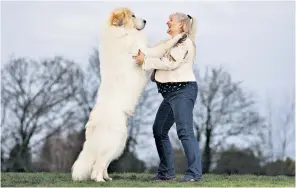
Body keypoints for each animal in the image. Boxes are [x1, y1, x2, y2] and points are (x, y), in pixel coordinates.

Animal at [71, 7, 185, 182]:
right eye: (133, 15)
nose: (145, 21)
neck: (122, 33)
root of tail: (93, 122)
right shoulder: (143, 52)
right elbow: (160, 47)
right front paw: (178, 37)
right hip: (113, 141)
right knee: (98, 164)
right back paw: (99, 180)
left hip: (119, 144)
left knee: (103, 164)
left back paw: (107, 178)